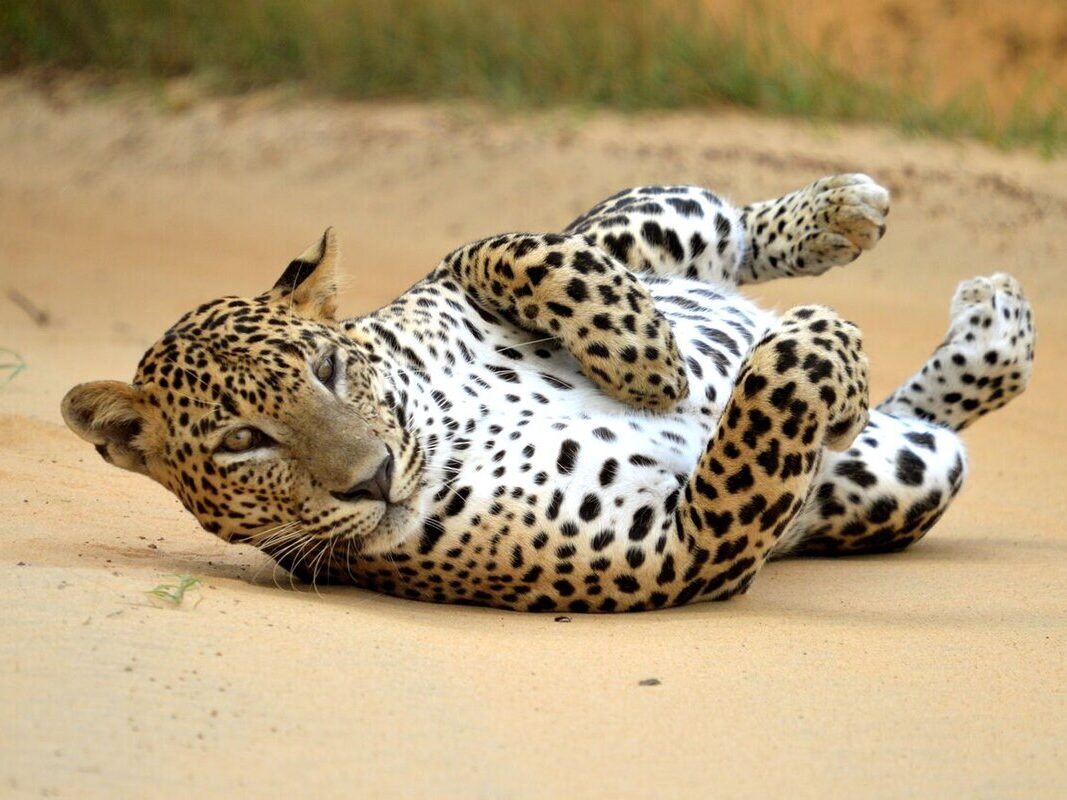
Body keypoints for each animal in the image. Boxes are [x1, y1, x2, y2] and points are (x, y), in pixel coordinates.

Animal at [62, 174, 1036, 612]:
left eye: (328, 370)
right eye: (241, 443)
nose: (372, 477)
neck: (442, 426)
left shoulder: (456, 278)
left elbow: (502, 246)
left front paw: (651, 365)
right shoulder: (683, 553)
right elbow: (771, 401)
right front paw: (811, 343)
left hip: (649, 226)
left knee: (697, 227)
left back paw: (842, 215)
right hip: (904, 474)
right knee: (916, 417)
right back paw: (984, 329)